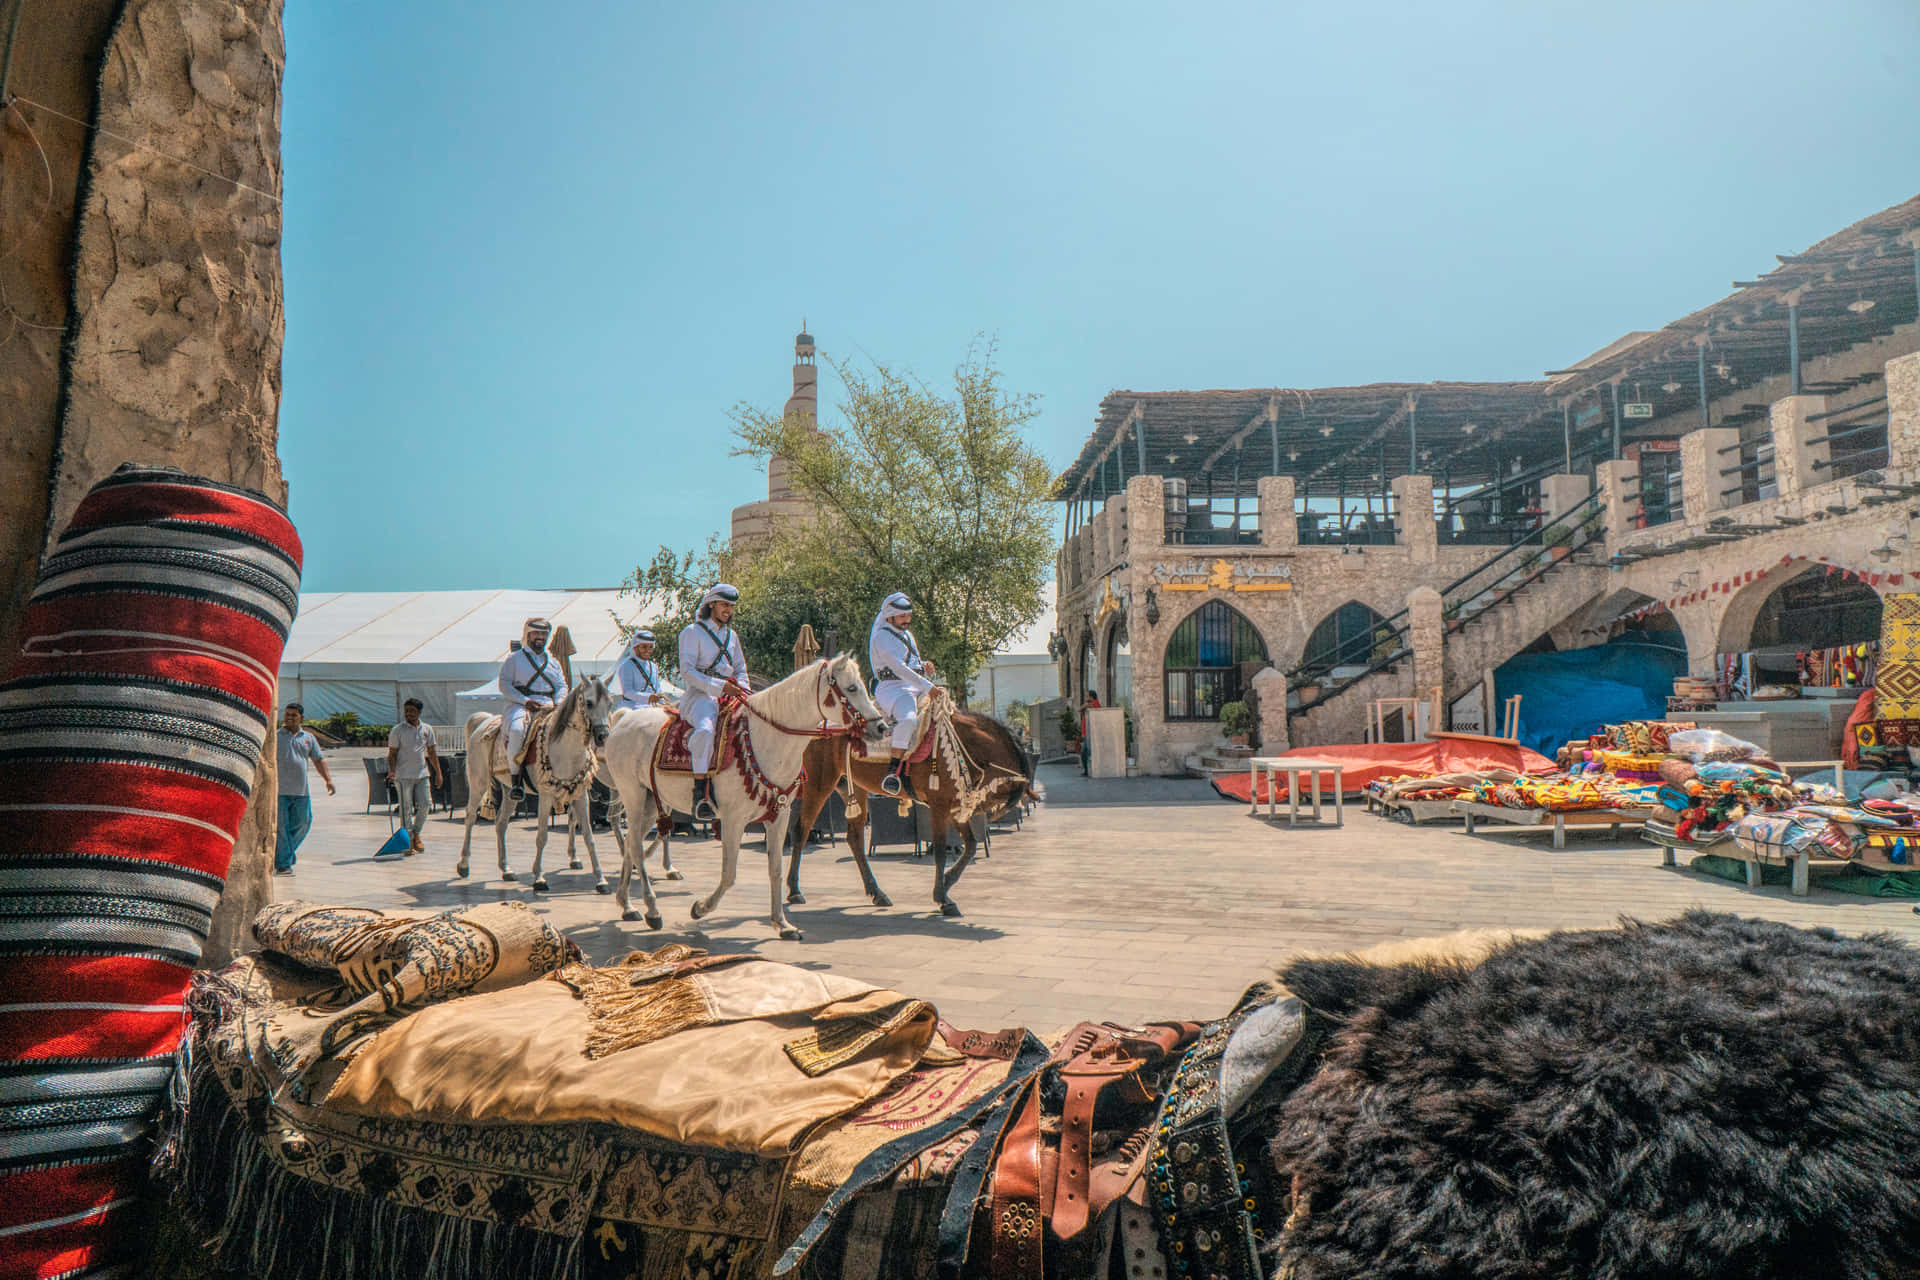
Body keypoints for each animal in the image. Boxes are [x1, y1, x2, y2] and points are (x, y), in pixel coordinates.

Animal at [458, 679, 614, 890]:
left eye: (610, 703)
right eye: (588, 703)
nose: (603, 736)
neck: (566, 748)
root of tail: (485, 722)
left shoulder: (579, 794)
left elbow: (588, 836)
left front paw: (600, 879)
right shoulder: (546, 795)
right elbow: (542, 836)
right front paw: (539, 878)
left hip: (510, 791)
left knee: (501, 824)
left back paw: (506, 869)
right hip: (478, 783)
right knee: (470, 818)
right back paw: (464, 865)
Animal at [602, 660, 887, 940]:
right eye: (851, 688)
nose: (881, 727)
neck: (766, 740)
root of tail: (625, 718)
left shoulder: (779, 817)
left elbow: (775, 869)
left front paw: (782, 923)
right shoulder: (733, 820)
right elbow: (729, 875)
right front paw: (700, 908)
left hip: (651, 801)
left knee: (632, 844)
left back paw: (626, 905)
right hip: (633, 796)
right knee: (635, 847)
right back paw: (652, 910)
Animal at [787, 710, 1044, 909]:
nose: (982, 811)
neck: (959, 743)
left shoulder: (954, 806)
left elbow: (970, 846)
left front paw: (947, 883)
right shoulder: (940, 807)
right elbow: (940, 850)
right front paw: (943, 897)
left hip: (852, 787)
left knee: (854, 838)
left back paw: (877, 892)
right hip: (819, 783)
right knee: (801, 830)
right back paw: (794, 890)